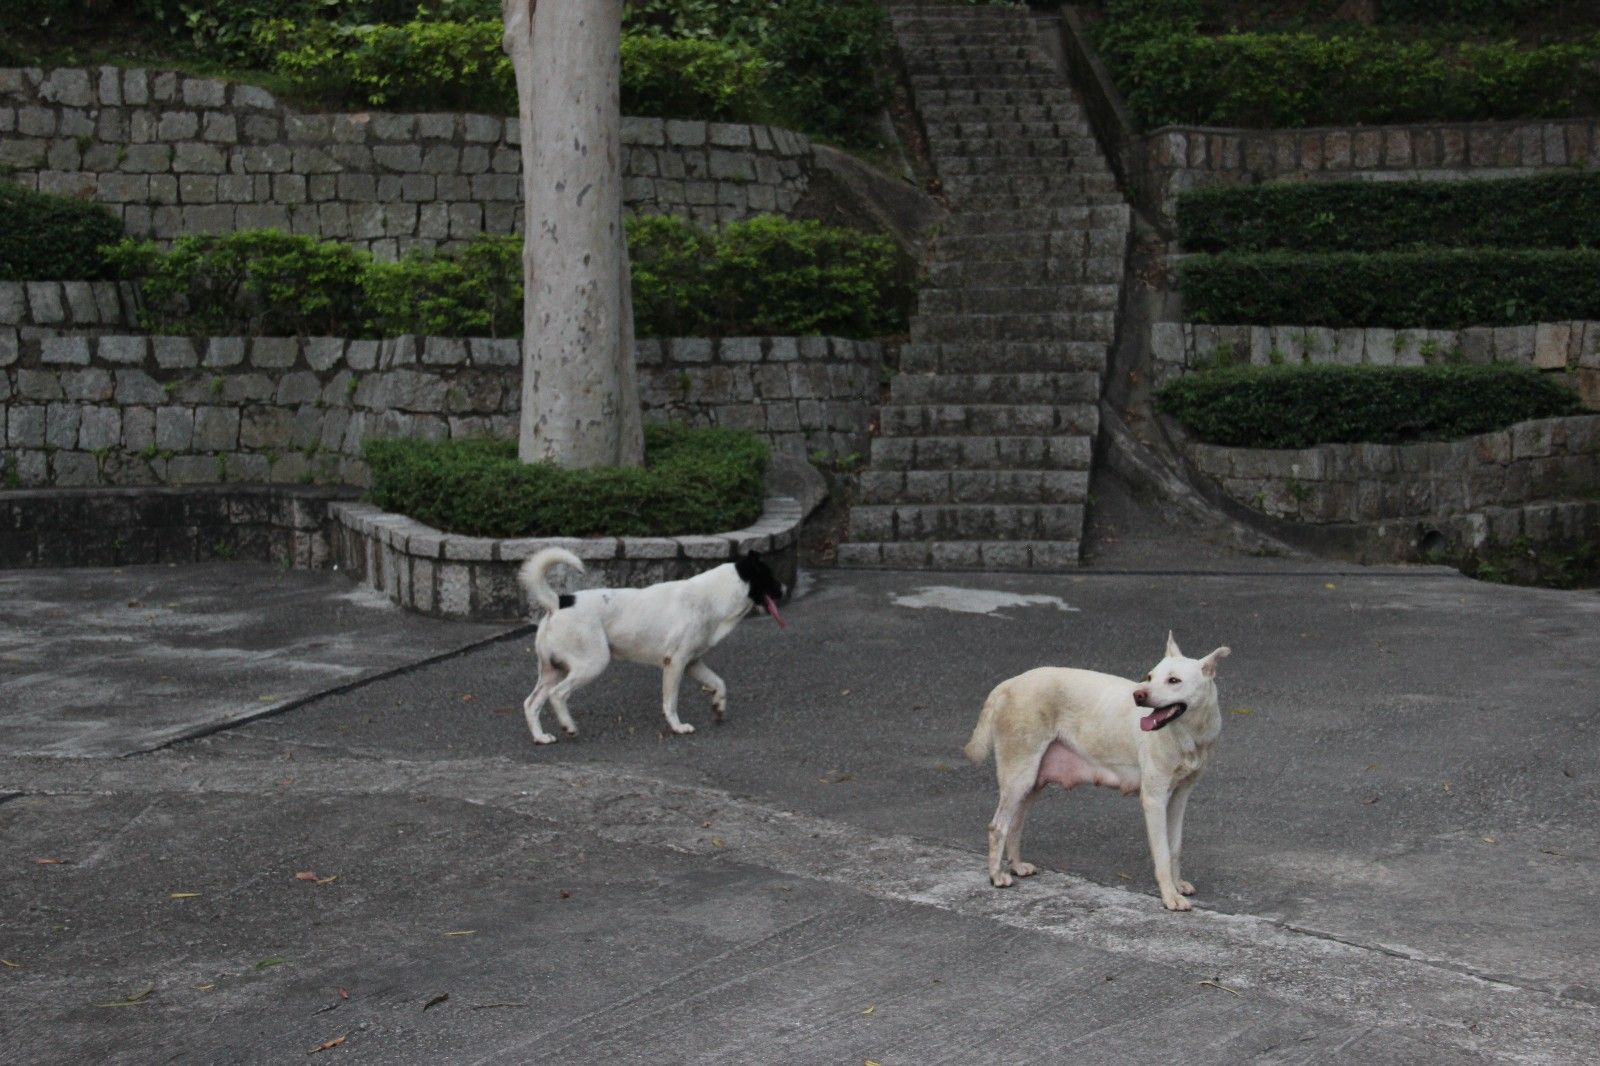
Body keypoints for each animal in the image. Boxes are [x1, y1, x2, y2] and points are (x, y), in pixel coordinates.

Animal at [515, 544, 784, 742]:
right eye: (770, 577)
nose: (783, 589)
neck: (714, 596)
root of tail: (558, 602)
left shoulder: (693, 663)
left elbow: (720, 683)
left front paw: (718, 707)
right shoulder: (675, 663)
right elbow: (670, 702)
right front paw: (677, 727)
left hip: (553, 671)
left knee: (531, 703)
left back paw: (541, 737)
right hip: (592, 663)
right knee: (557, 695)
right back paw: (568, 726)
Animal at [960, 627, 1235, 909]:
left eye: (1173, 680)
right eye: (1149, 677)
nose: (1138, 696)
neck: (1190, 733)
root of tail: (1008, 684)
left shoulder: (1180, 796)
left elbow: (1175, 847)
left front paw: (1177, 885)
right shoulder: (1154, 799)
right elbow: (1162, 853)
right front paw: (1170, 896)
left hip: (1032, 782)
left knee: (1015, 823)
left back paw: (1016, 866)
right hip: (1019, 777)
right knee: (998, 827)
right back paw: (996, 876)